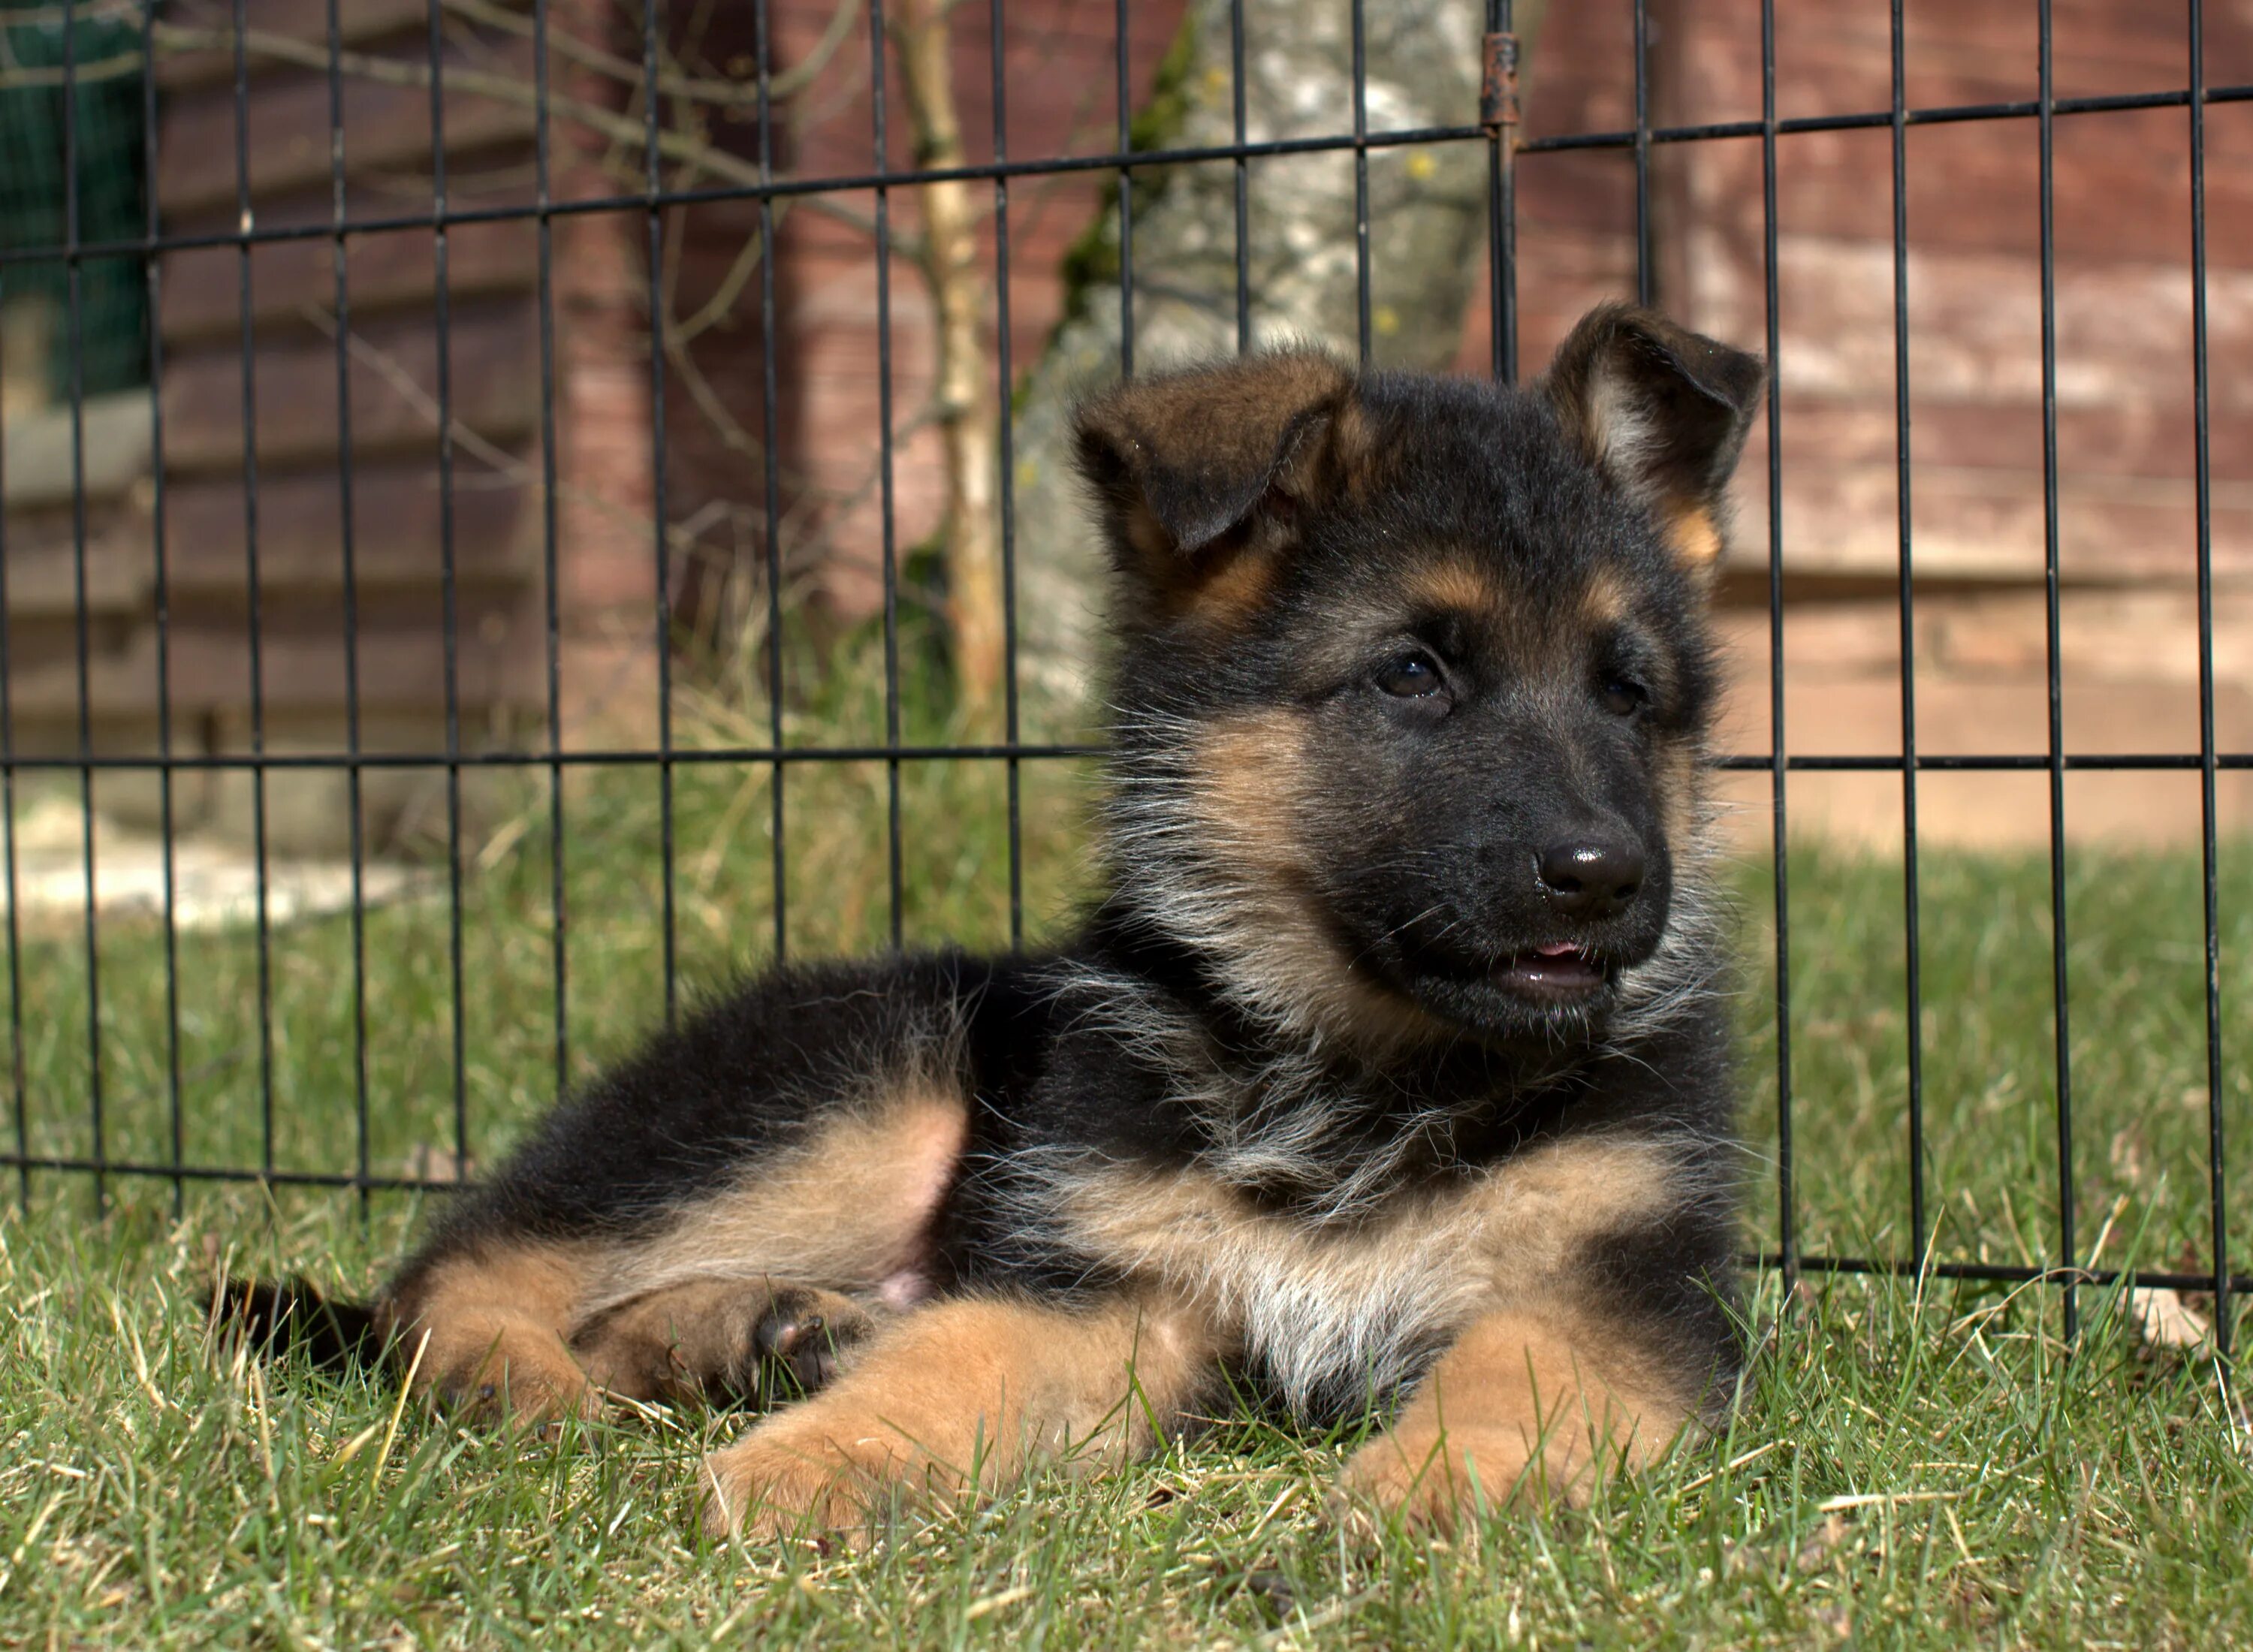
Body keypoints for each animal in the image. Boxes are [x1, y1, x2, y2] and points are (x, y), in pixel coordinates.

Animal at [233, 306, 1775, 1532]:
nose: (1606, 876)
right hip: (859, 1088)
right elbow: (951, 1361)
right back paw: (530, 1376)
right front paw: (814, 1460)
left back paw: (755, 1335)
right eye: (1410, 675)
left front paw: (1431, 1498)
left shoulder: (1611, 1287)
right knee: (455, 1271)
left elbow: (1518, 1383)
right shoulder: (1095, 1287)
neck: (1362, 1073)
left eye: (1629, 692)